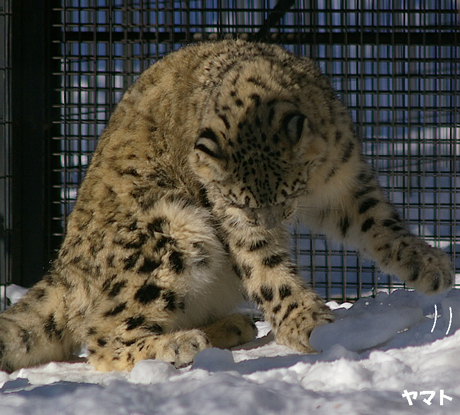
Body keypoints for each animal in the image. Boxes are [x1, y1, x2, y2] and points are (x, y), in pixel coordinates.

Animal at [0, 40, 452, 372]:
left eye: (286, 193)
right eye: (238, 201)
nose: (268, 226)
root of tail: (65, 268)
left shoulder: (345, 181)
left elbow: (380, 223)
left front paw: (430, 266)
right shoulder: (230, 218)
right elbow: (266, 270)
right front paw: (310, 325)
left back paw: (230, 327)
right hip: (170, 229)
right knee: (102, 337)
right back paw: (181, 344)